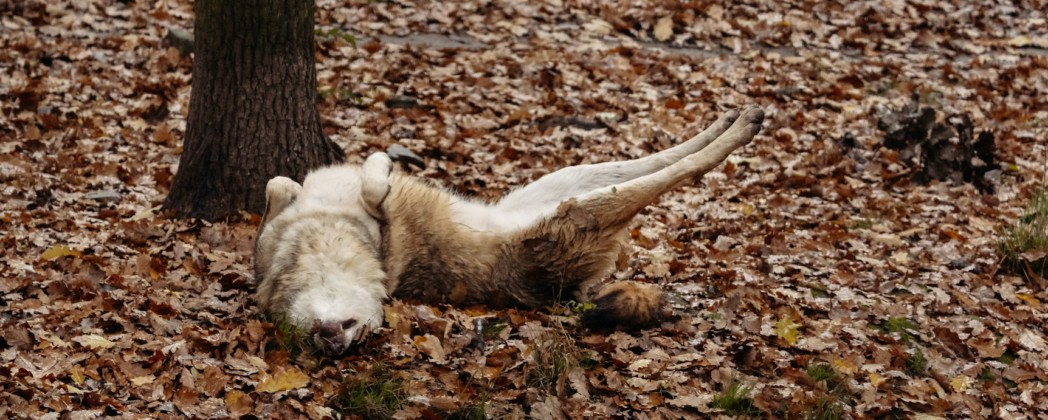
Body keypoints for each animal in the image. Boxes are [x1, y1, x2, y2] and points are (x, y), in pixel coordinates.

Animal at [254, 107, 764, 354]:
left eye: (355, 331)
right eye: (306, 340)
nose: (335, 348)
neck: (323, 238)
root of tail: (573, 292)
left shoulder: (292, 208)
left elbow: (282, 183)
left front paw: (381, 161)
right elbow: (365, 184)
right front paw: (381, 167)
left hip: (573, 180)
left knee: (664, 158)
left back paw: (740, 118)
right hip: (590, 202)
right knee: (677, 170)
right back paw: (741, 126)